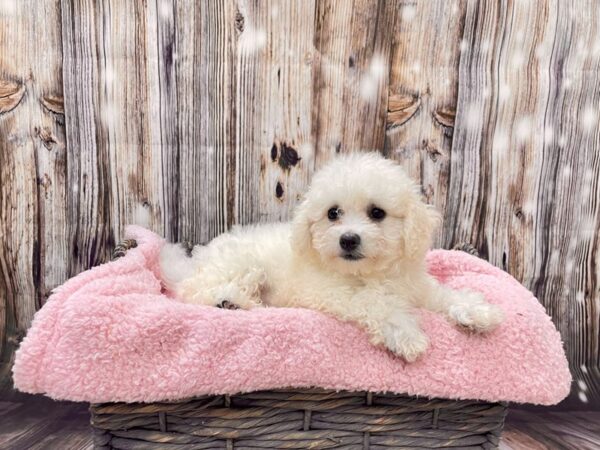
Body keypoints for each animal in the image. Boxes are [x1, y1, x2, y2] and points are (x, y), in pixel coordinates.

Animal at [159, 153, 502, 360]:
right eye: (333, 213)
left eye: (377, 213)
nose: (348, 239)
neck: (369, 274)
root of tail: (195, 261)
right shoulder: (329, 293)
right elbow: (376, 304)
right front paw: (405, 334)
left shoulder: (416, 287)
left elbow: (443, 295)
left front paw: (477, 311)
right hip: (240, 265)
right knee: (195, 293)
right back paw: (231, 301)